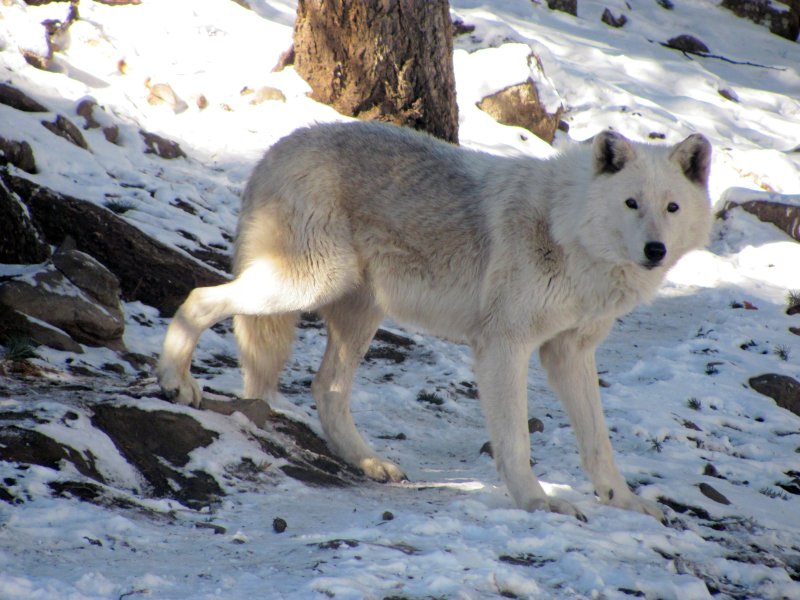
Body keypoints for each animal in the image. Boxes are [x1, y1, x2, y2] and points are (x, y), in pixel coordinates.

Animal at [158, 122, 712, 520]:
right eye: (631, 203)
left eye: (672, 207)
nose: (655, 250)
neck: (567, 230)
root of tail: (275, 150)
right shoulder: (504, 346)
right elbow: (516, 442)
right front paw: (537, 503)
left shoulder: (568, 353)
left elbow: (599, 444)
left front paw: (625, 502)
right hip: (304, 285)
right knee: (200, 297)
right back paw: (175, 381)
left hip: (355, 313)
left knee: (326, 390)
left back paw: (369, 462)